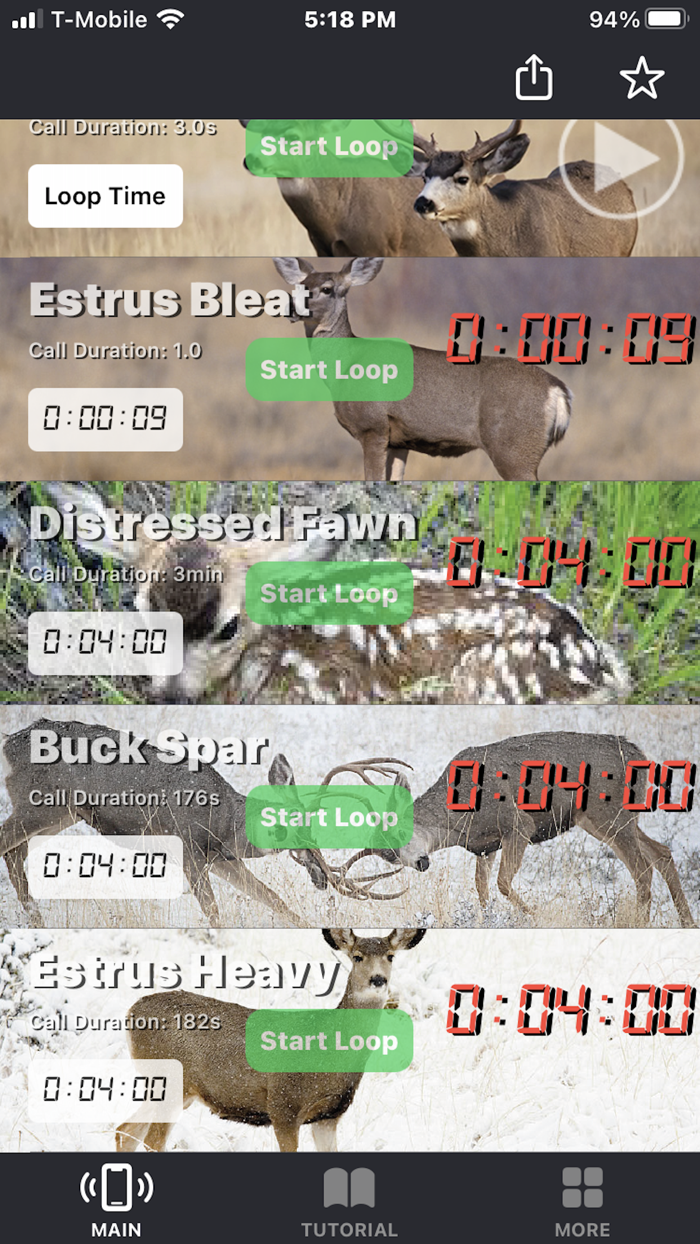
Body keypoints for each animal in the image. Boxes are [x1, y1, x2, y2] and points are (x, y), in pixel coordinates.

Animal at [0, 717, 407, 926]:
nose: (320, 875)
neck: (226, 823)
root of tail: (10, 743)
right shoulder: (188, 847)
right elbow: (213, 911)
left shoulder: (222, 859)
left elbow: (273, 899)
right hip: (42, 805)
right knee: (6, 843)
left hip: (60, 814)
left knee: (15, 854)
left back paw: (36, 919)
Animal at [115, 927, 426, 1153]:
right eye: (357, 956)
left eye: (390, 956)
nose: (378, 980)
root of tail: (131, 1012)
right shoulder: (283, 1105)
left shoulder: (328, 1116)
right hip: (170, 1081)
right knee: (151, 1141)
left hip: (176, 1090)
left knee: (124, 1131)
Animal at [273, 256, 573, 483]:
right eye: (300, 285)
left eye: (327, 288)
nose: (290, 307)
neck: (346, 366)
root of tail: (558, 391)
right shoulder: (398, 441)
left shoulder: (373, 426)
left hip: (515, 448)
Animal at [362, 732, 696, 928]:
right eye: (387, 857)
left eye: (395, 837)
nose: (421, 863)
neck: (458, 822)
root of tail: (639, 754)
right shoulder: (485, 846)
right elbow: (482, 888)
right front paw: (488, 921)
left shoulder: (518, 824)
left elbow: (502, 883)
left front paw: (536, 917)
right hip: (610, 819)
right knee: (661, 853)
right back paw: (688, 923)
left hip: (608, 815)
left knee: (642, 868)